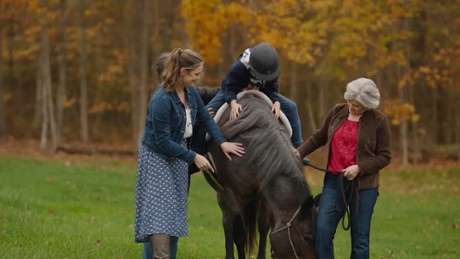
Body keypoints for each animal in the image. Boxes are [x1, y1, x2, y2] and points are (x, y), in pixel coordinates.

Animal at [206, 90, 316, 258]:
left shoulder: (264, 192)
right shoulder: (231, 191)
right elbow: (239, 233)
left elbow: (264, 226)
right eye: (307, 237)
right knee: (228, 223)